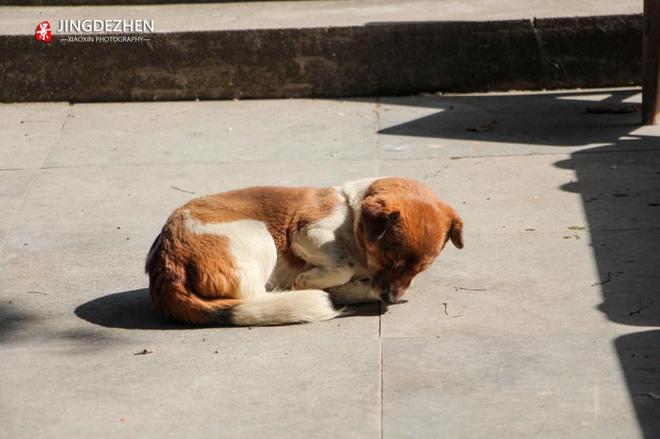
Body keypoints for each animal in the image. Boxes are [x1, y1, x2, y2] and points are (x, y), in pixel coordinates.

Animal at [144, 178, 464, 326]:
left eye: (419, 270)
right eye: (388, 259)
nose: (391, 299)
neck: (352, 213)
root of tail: (167, 265)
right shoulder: (306, 230)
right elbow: (343, 264)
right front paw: (310, 281)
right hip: (260, 235)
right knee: (256, 295)